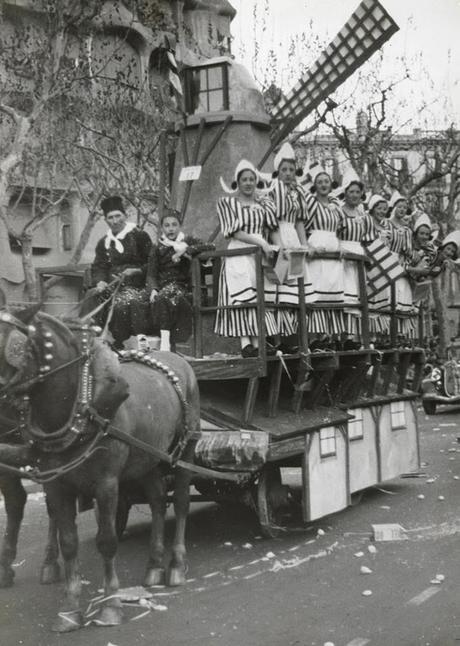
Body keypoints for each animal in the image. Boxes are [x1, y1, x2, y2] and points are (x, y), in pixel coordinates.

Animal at [0, 308, 199, 632]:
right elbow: (69, 543)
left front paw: (110, 607)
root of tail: (179, 358)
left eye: (10, 347)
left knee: (180, 502)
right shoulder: (57, 484)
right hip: (147, 459)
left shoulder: (106, 484)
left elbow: (107, 541)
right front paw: (69, 610)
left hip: (184, 450)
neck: (84, 405)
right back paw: (154, 565)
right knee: (157, 500)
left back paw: (176, 565)